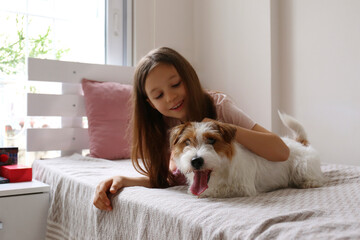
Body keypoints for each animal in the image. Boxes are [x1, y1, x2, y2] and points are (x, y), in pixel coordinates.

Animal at [169, 111, 324, 198]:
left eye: (212, 140)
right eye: (187, 142)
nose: (196, 161)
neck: (221, 172)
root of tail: (300, 142)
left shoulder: (242, 188)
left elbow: (216, 190)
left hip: (302, 167)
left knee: (314, 177)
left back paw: (309, 182)